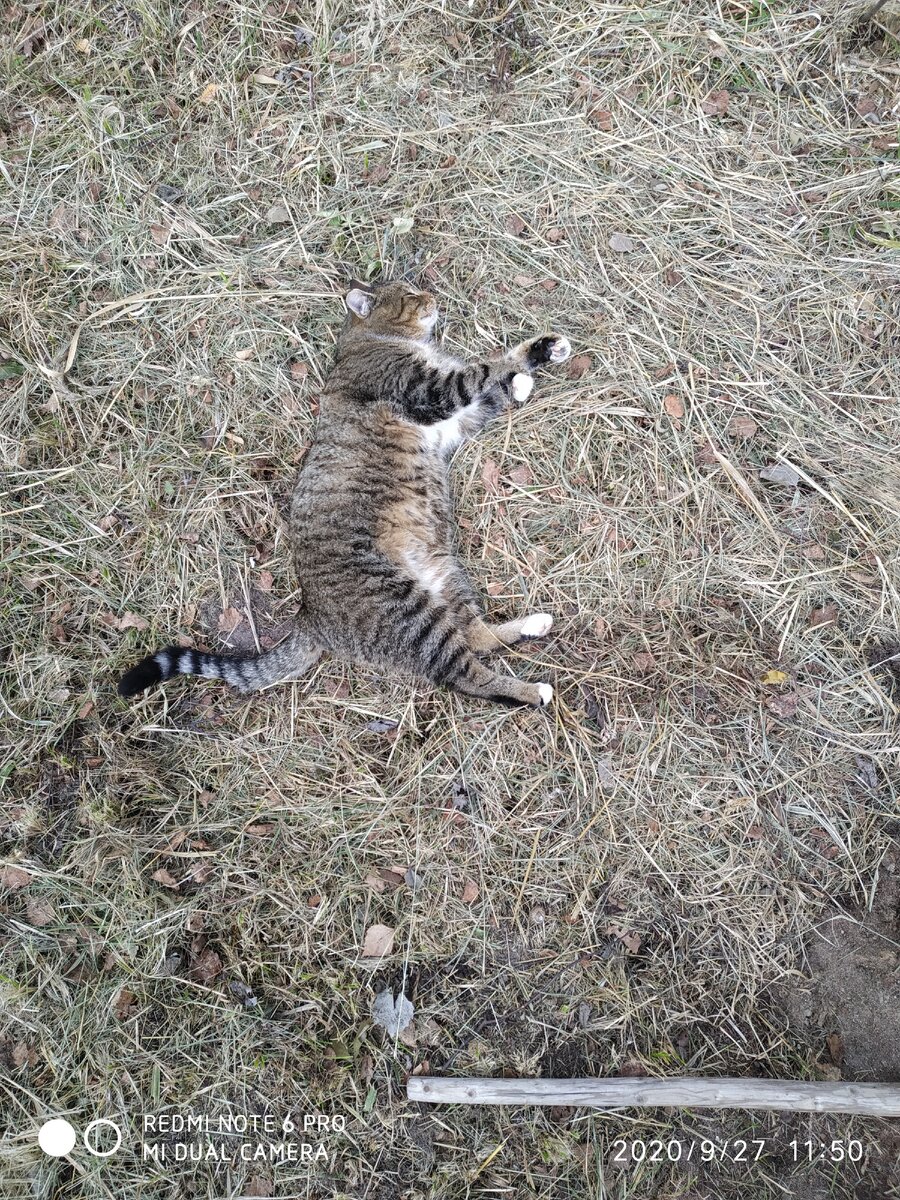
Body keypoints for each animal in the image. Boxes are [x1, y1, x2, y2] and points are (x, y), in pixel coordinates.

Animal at [118, 282, 571, 705]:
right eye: (408, 294)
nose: (431, 295)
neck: (371, 339)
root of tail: (308, 615)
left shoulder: (458, 421)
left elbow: (493, 388)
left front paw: (531, 369)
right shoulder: (430, 391)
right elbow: (482, 370)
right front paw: (526, 359)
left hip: (445, 577)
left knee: (477, 635)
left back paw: (531, 625)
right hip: (408, 611)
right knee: (465, 674)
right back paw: (532, 692)